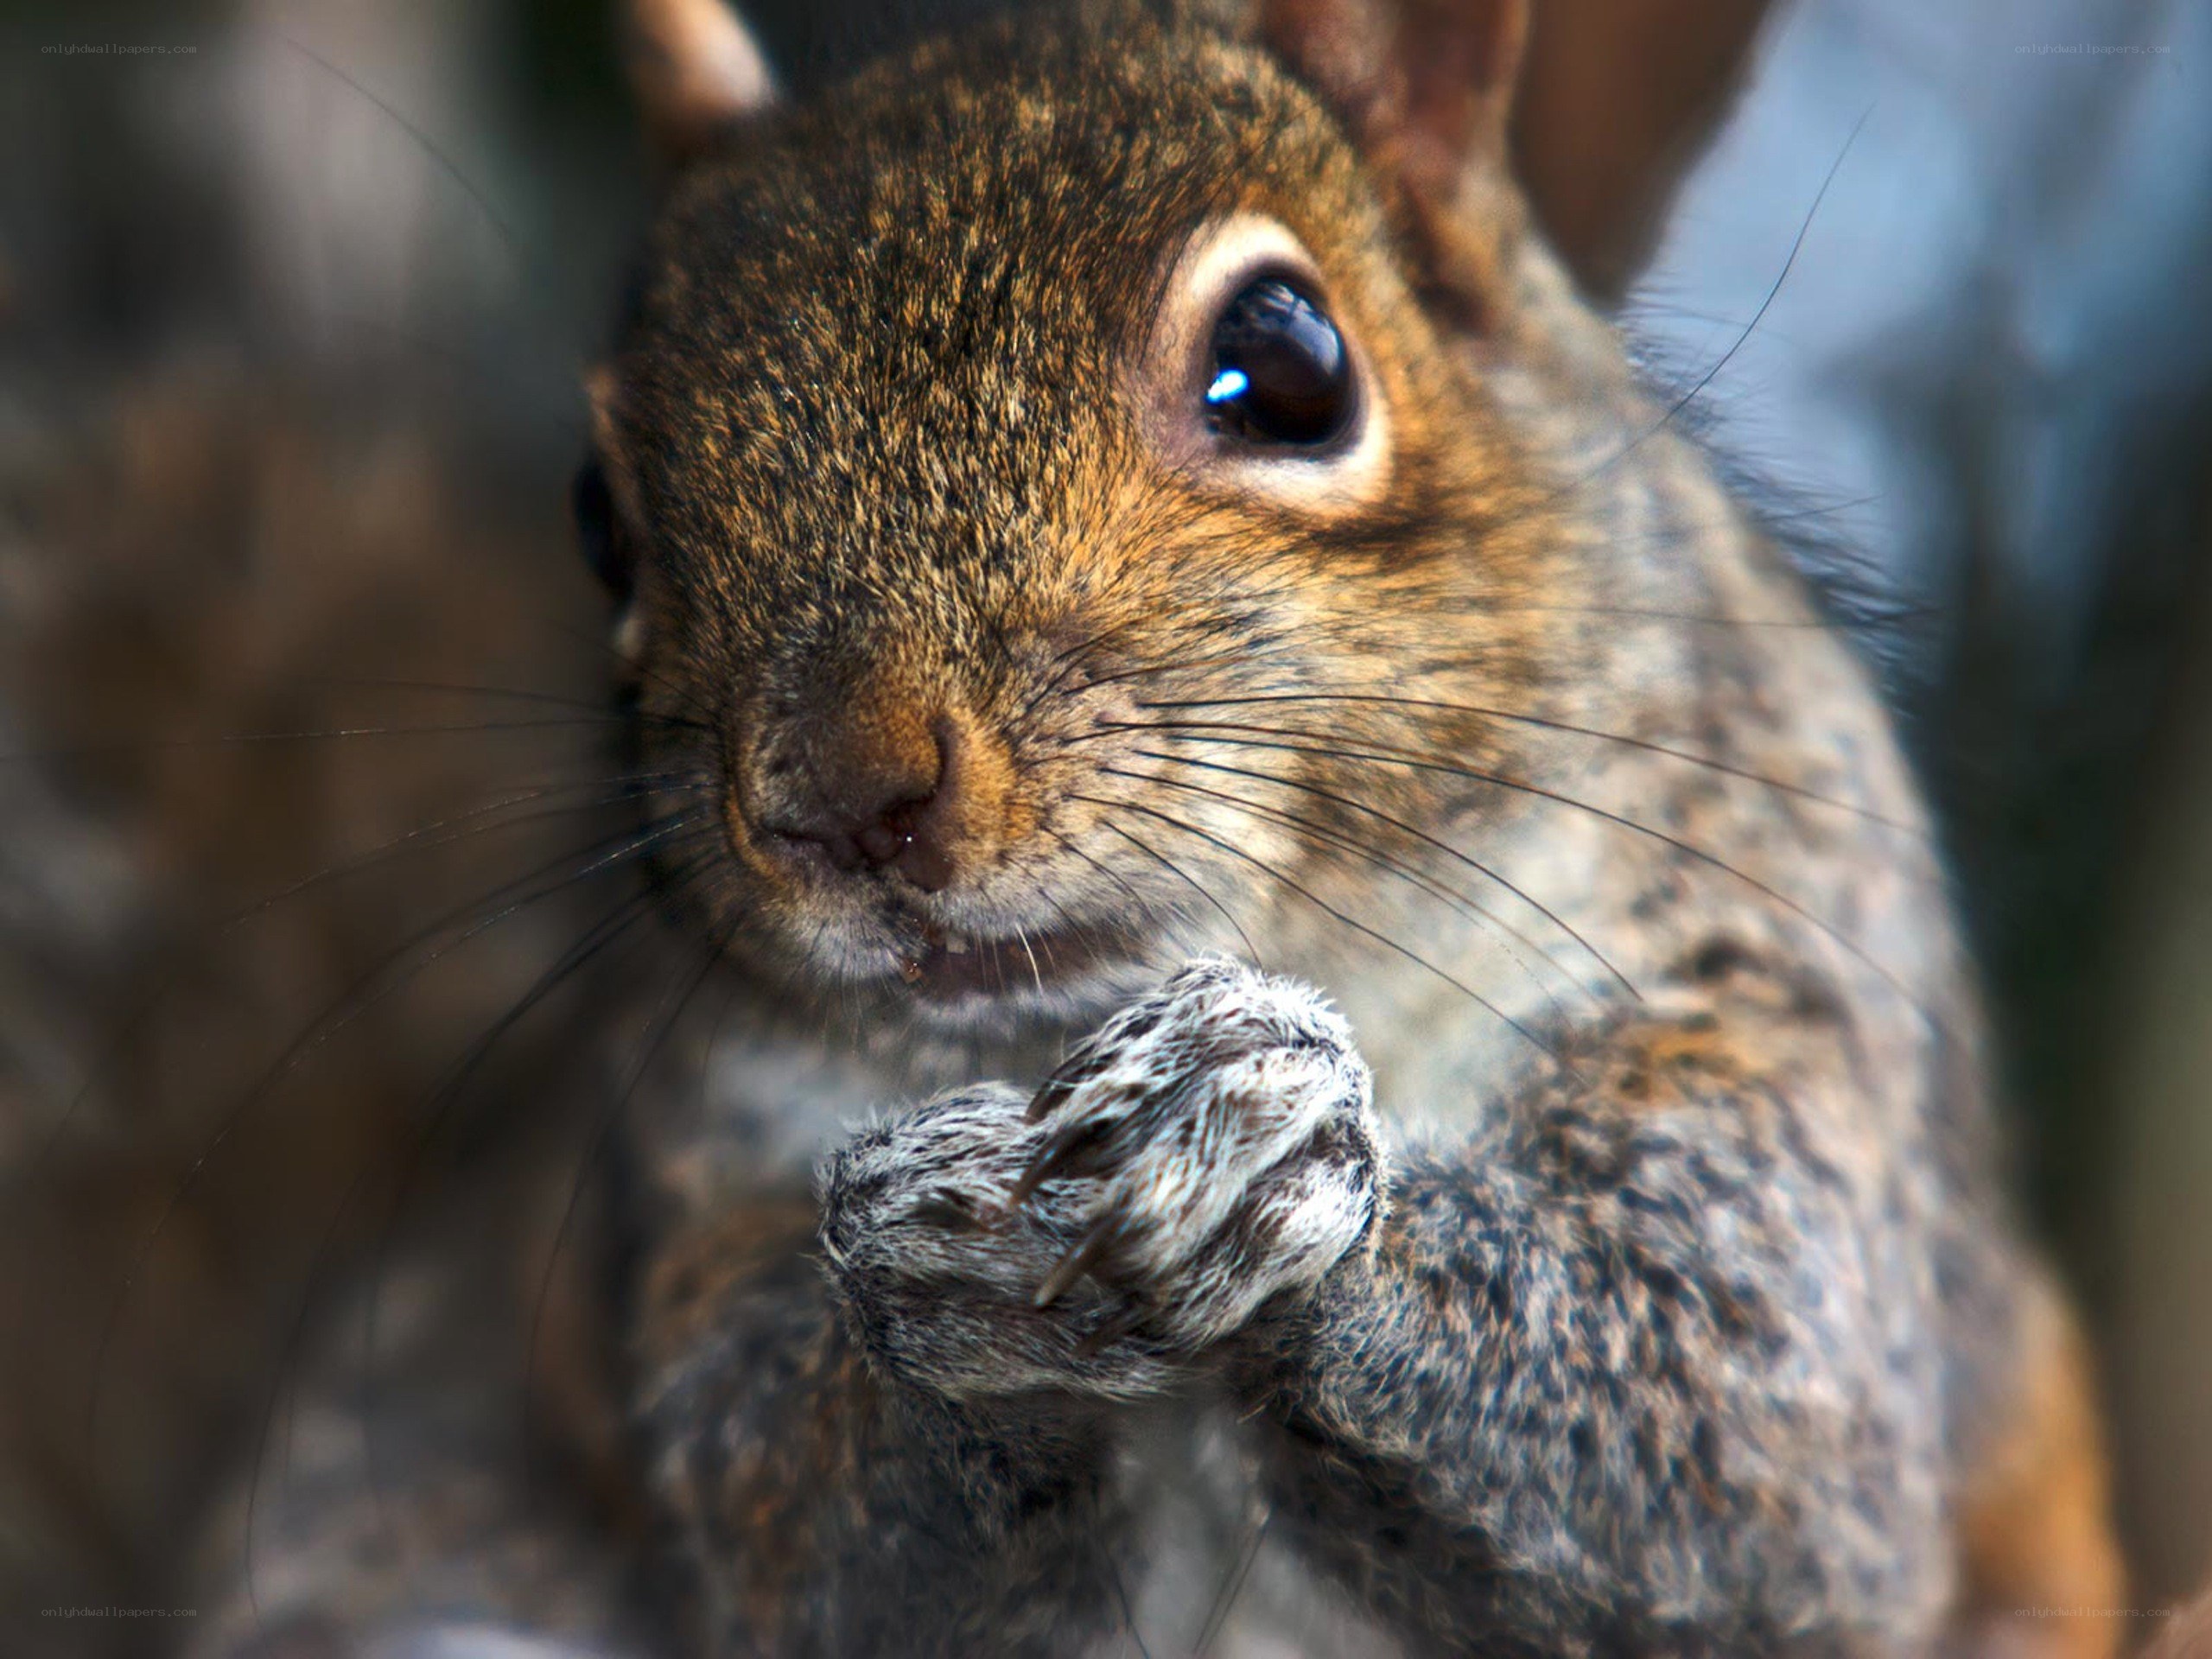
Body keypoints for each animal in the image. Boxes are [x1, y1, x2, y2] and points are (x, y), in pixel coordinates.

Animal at [184, 0, 2127, 1654]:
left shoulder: (1769, 991)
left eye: (1286, 361)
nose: (843, 795)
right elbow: (799, 1540)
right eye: (599, 516)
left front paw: (1267, 1167)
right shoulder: (702, 1187)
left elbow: (1747, 1438)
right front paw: (942, 1278)